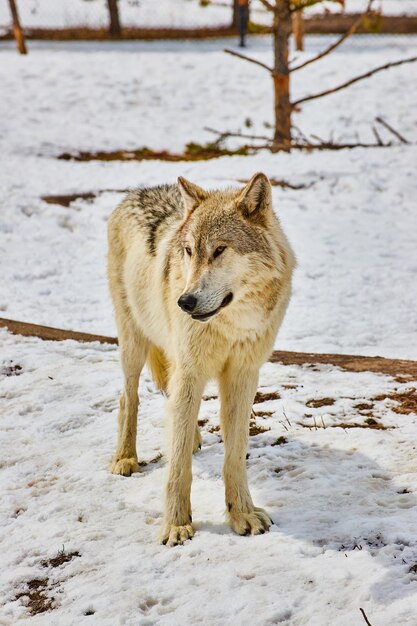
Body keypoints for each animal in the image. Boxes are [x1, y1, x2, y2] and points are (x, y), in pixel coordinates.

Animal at [107, 173, 296, 544]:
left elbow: (234, 455)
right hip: (134, 343)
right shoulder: (191, 371)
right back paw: (125, 458)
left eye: (219, 250)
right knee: (128, 398)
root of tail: (139, 190)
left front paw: (242, 514)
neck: (232, 325)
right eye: (189, 251)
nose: (185, 302)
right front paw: (176, 525)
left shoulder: (243, 375)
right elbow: (178, 466)